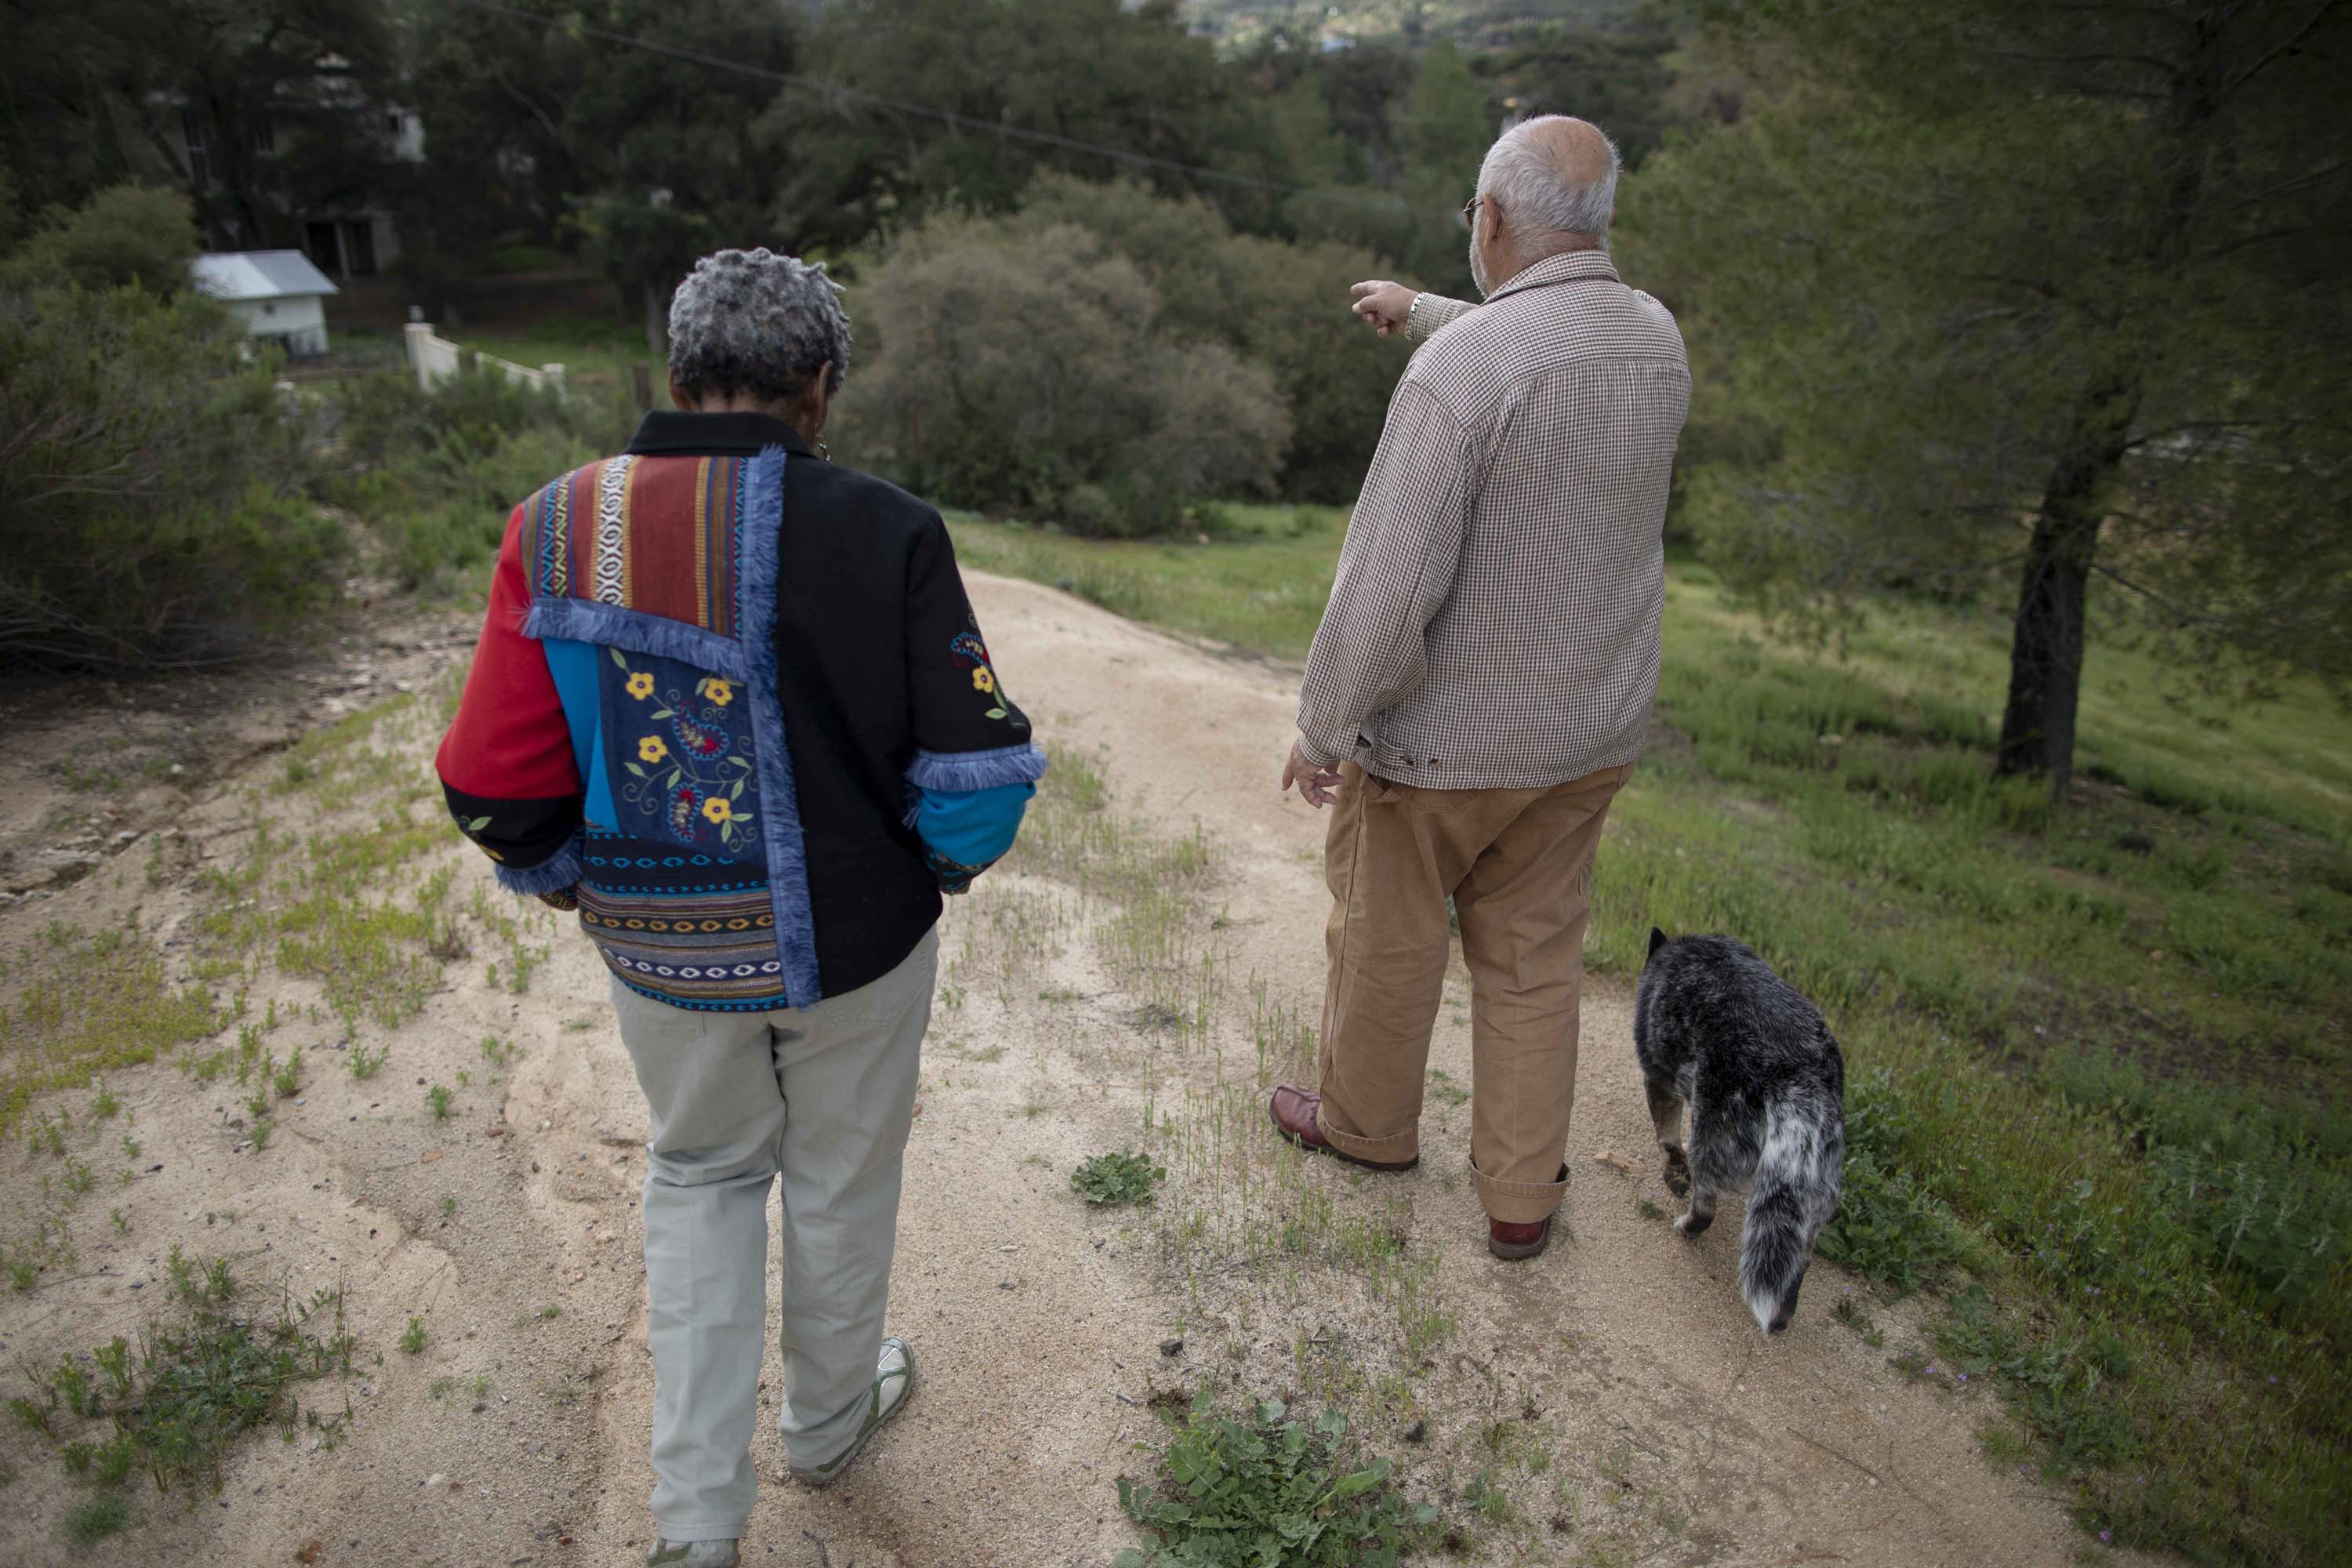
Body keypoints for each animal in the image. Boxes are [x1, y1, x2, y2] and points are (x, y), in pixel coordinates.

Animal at [1637, 931, 1835, 1335]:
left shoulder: (1659, 1077)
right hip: (1813, 1197)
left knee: (1705, 1206)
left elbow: (1667, 1138)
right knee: (1799, 1258)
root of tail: (1797, 1078)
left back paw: (1686, 1226)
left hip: (1711, 1145)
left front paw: (1672, 1170)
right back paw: (1782, 1315)